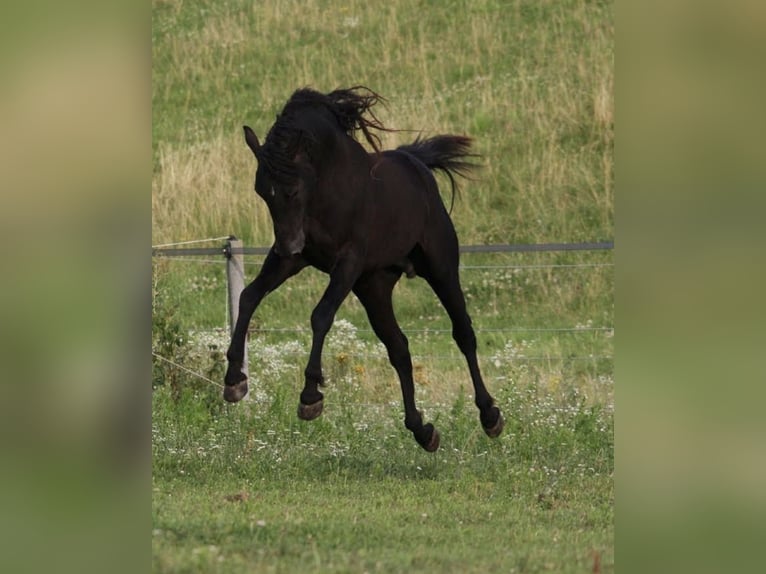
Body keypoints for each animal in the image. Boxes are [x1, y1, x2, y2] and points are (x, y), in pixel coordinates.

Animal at [224, 86, 504, 451]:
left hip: (441, 268)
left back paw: (490, 416)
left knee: (463, 333)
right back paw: (423, 430)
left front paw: (310, 397)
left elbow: (321, 315)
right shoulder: (293, 259)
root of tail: (416, 165)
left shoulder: (348, 262)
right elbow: (249, 296)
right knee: (399, 348)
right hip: (374, 287)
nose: (288, 244)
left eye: (293, 190)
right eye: (261, 191)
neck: (329, 188)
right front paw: (234, 381)